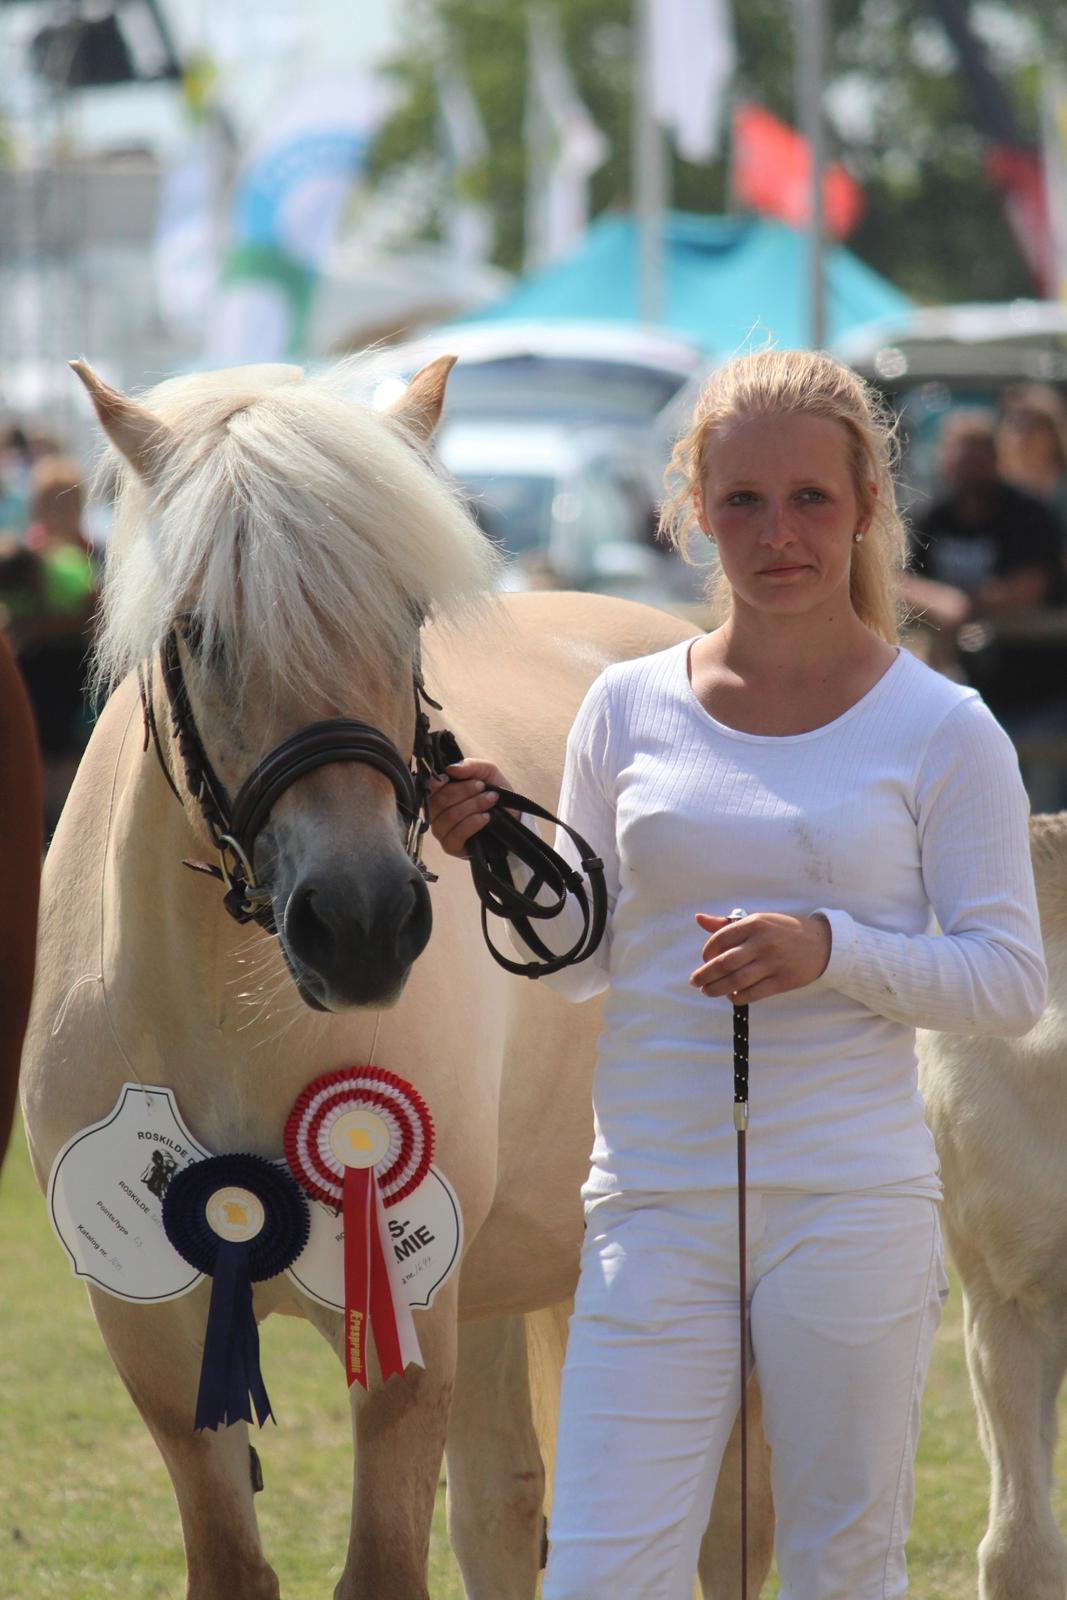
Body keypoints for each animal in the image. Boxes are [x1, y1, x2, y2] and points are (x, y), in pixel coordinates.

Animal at [22, 360, 777, 1600]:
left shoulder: (405, 1322)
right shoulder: (159, 1337)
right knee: (505, 1510)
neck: (230, 1010)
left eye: (405, 618)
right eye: (198, 629)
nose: (363, 923)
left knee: (724, 1528)